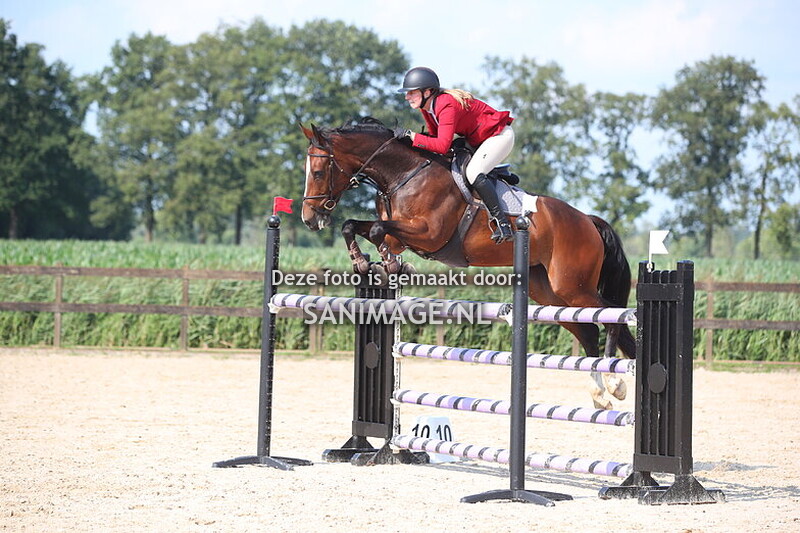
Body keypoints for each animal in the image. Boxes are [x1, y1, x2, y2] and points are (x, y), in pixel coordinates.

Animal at [300, 118, 635, 409]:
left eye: (317, 172)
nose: (309, 219)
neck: (404, 175)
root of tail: (588, 220)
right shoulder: (400, 232)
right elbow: (353, 226)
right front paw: (365, 263)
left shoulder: (429, 233)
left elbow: (378, 231)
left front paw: (391, 264)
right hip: (550, 292)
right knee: (587, 330)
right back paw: (599, 393)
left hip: (572, 286)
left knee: (611, 315)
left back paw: (614, 384)